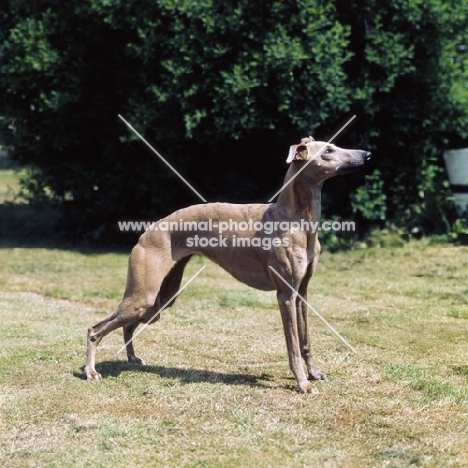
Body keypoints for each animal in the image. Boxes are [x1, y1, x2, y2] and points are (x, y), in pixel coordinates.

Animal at [83, 137, 370, 394]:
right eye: (328, 150)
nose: (367, 154)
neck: (296, 220)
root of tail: (148, 231)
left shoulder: (302, 292)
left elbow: (305, 341)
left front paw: (314, 373)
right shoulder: (285, 294)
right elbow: (292, 346)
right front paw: (303, 383)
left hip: (160, 299)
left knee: (127, 325)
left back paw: (132, 359)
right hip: (144, 296)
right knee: (95, 329)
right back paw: (91, 371)